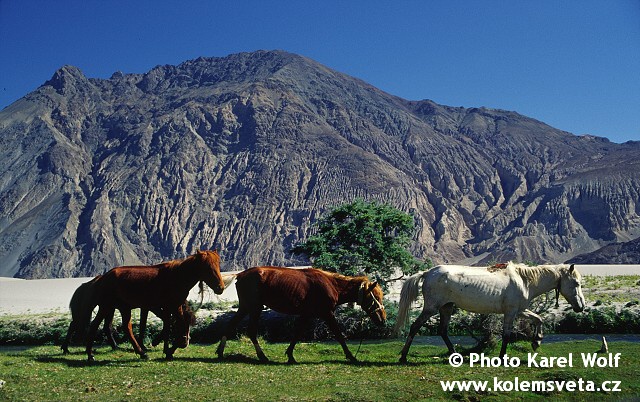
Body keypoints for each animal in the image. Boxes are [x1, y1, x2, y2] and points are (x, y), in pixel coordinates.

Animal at [85, 248, 225, 362]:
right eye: (207, 267)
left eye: (218, 265)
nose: (221, 288)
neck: (177, 277)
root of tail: (104, 277)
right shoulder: (172, 306)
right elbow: (178, 326)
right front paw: (173, 347)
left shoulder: (171, 307)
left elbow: (168, 327)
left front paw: (168, 350)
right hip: (107, 307)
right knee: (94, 325)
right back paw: (90, 355)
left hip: (123, 308)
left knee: (127, 328)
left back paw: (141, 352)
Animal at [216, 266, 384, 364]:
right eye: (375, 297)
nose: (383, 319)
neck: (331, 284)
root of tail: (240, 274)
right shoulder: (327, 313)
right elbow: (339, 335)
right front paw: (351, 356)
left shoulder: (306, 314)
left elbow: (297, 334)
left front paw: (290, 355)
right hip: (254, 308)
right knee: (251, 331)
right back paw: (262, 356)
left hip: (245, 308)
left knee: (230, 326)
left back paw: (220, 352)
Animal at [392, 260, 584, 362]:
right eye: (576, 283)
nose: (580, 306)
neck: (524, 281)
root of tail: (428, 273)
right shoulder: (511, 312)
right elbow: (507, 335)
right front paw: (502, 357)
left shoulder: (520, 310)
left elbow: (538, 319)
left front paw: (537, 341)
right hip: (431, 308)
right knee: (415, 327)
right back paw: (403, 357)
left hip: (446, 308)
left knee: (443, 331)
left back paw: (456, 356)